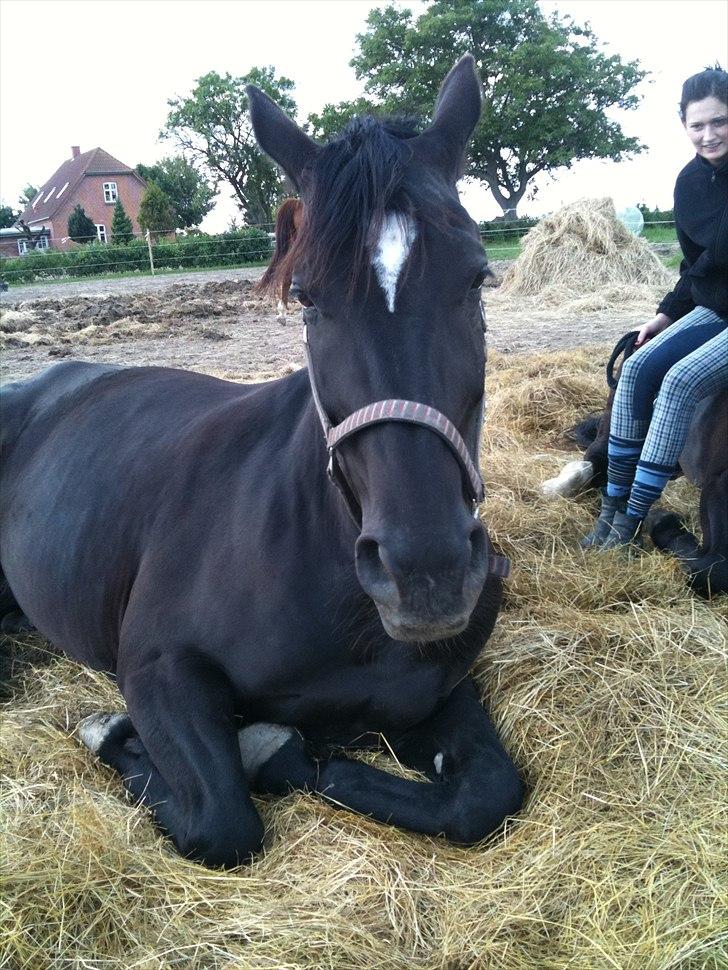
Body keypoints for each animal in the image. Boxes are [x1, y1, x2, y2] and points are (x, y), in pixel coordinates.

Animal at [0, 56, 524, 864]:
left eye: (477, 278)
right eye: (305, 297)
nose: (426, 572)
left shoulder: (437, 691)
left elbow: (485, 795)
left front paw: (289, 754)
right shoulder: (156, 667)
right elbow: (222, 819)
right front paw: (112, 732)